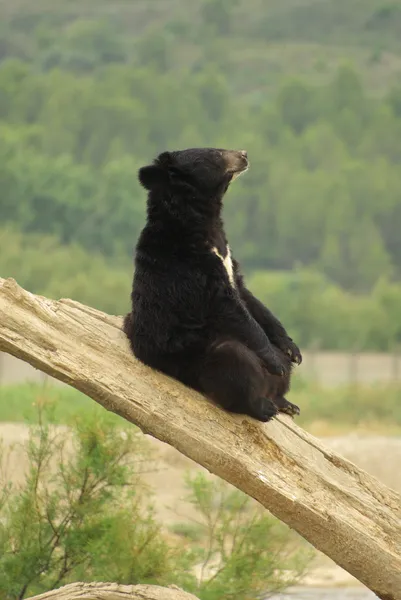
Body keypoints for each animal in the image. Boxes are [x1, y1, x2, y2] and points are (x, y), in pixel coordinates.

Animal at [123, 148, 302, 422]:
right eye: (214, 154)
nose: (244, 154)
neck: (201, 221)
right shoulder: (191, 266)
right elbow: (230, 308)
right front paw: (276, 362)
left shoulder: (227, 258)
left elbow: (249, 298)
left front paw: (292, 350)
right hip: (194, 360)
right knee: (233, 361)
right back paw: (262, 406)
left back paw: (286, 401)